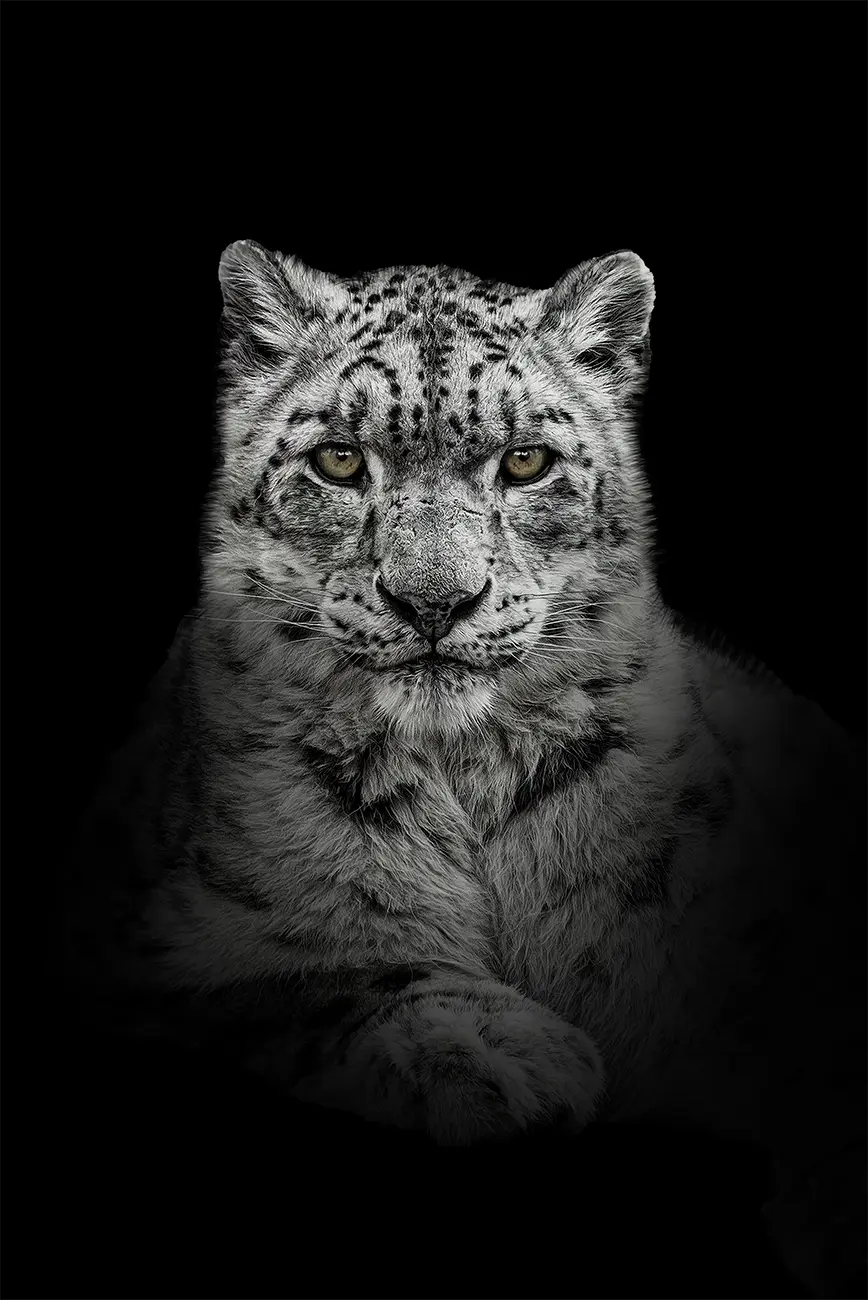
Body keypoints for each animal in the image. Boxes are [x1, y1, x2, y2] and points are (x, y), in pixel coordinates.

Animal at [67, 240, 866, 1296]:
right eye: (338, 458)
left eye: (525, 460)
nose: (435, 601)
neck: (465, 777)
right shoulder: (139, 935)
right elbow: (305, 972)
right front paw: (503, 1049)